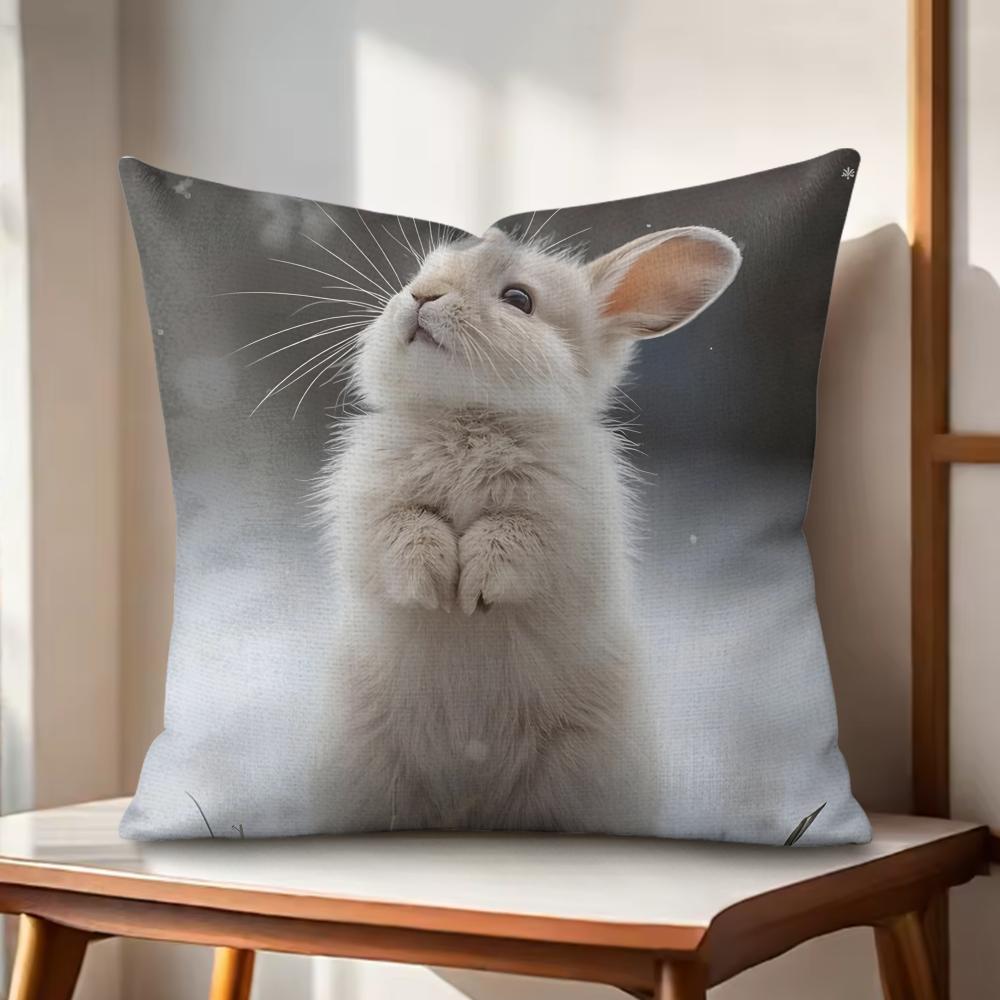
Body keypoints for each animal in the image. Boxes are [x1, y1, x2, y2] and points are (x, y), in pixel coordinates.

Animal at [318, 223, 741, 832]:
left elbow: (512, 538)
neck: (470, 417)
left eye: (519, 299)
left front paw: (472, 590)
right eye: (418, 273)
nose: (421, 297)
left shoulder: (566, 523)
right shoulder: (368, 508)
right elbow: (405, 530)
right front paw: (433, 588)